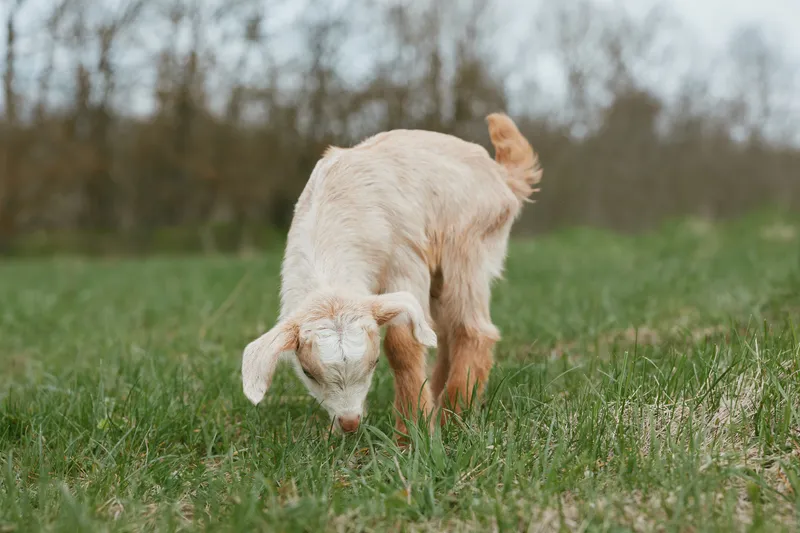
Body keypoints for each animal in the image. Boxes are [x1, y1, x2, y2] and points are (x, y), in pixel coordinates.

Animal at [242, 113, 542, 436]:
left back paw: (453, 415)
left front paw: (411, 433)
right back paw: (438, 400)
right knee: (445, 331)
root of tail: (501, 176)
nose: (349, 423)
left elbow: (402, 345)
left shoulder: (406, 261)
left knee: (472, 329)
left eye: (374, 363)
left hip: (466, 248)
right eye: (308, 372)